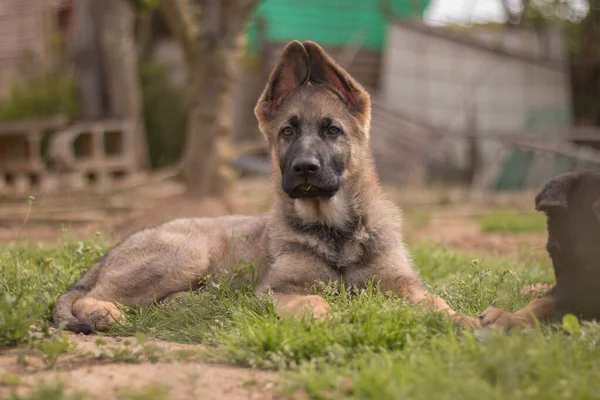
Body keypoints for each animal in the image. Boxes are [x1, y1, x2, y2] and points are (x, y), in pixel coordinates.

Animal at [54, 41, 480, 334]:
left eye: (332, 131)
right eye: (287, 132)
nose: (304, 168)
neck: (335, 231)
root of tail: (110, 253)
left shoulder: (402, 284)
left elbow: (436, 301)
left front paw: (466, 321)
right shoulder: (277, 290)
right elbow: (312, 300)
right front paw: (327, 317)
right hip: (186, 253)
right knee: (93, 295)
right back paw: (104, 312)